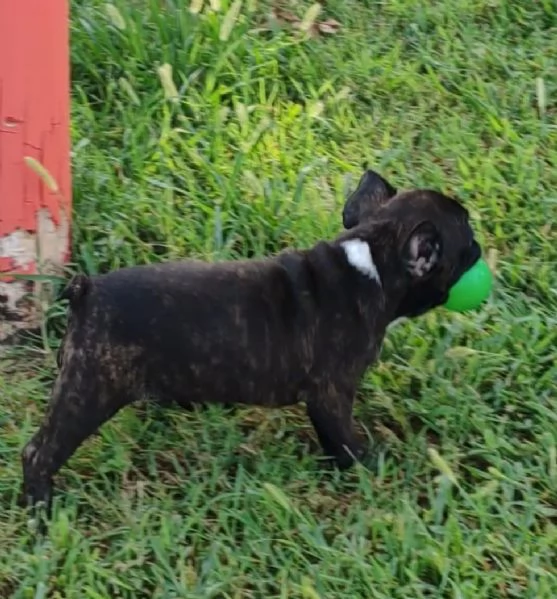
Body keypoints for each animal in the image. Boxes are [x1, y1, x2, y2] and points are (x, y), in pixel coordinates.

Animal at [20, 169, 482, 510]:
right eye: (465, 238)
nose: (480, 246)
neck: (372, 261)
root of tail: (87, 291)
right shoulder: (331, 395)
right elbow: (342, 439)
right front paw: (368, 465)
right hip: (90, 389)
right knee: (39, 450)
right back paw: (39, 506)